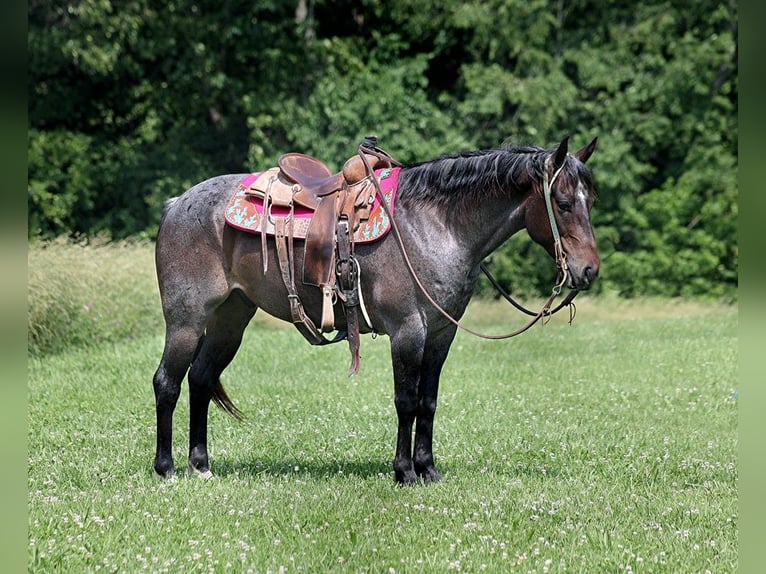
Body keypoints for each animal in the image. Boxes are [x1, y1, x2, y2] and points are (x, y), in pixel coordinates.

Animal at [152, 136, 600, 485]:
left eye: (589, 200)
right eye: (562, 203)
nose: (589, 270)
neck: (433, 226)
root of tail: (176, 204)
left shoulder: (441, 334)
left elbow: (428, 402)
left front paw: (428, 469)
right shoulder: (408, 331)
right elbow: (406, 401)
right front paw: (404, 472)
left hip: (231, 319)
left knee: (201, 378)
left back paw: (200, 465)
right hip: (186, 321)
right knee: (167, 383)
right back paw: (166, 468)